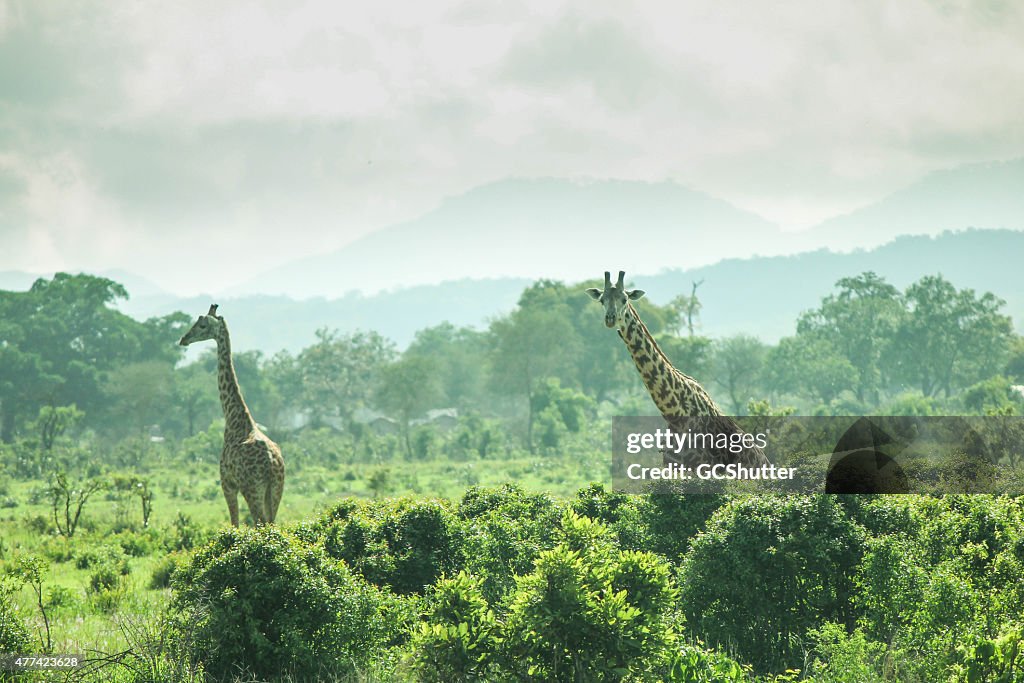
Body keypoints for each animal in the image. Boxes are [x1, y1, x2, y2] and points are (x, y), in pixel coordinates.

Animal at [178, 307, 284, 528]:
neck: (233, 416)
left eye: (202, 325)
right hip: (276, 491)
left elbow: (234, 523)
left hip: (252, 489)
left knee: (259, 522)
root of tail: (272, 464)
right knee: (271, 524)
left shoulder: (227, 483)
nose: (184, 339)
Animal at [589, 272, 765, 471]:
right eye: (602, 300)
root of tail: (764, 459)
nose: (610, 318)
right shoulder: (672, 467)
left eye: (624, 299)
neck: (675, 413)